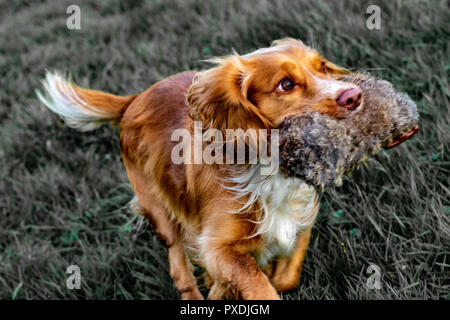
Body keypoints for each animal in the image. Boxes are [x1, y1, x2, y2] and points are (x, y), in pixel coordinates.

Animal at [37, 38, 370, 298]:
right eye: (285, 85)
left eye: (323, 66)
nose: (353, 96)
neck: (272, 171)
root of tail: (133, 100)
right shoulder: (216, 245)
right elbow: (254, 281)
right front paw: (231, 285)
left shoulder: (299, 221)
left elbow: (287, 275)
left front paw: (262, 275)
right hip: (160, 212)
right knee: (179, 269)